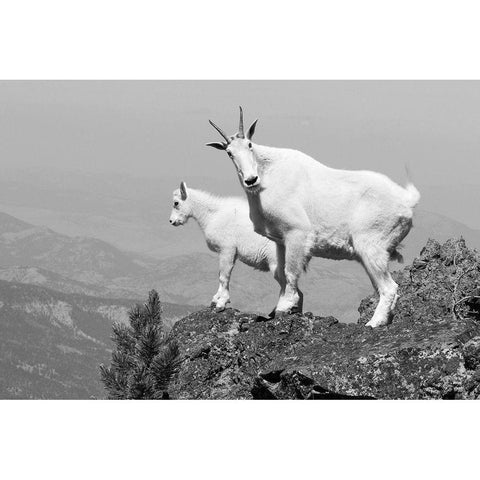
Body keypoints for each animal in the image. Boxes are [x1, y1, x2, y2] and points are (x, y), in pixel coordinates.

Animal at [170, 182, 288, 314]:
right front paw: (215, 299)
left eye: (176, 203)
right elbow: (221, 275)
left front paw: (221, 303)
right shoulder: (229, 253)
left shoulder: (227, 249)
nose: (172, 221)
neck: (212, 215)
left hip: (275, 262)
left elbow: (224, 276)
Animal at [206, 107, 420, 328]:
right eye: (229, 153)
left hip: (371, 245)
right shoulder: (280, 240)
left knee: (389, 288)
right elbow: (282, 272)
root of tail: (407, 200)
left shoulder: (296, 232)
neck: (268, 177)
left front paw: (285, 306)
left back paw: (373, 323)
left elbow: (291, 271)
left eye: (249, 144)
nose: (250, 180)